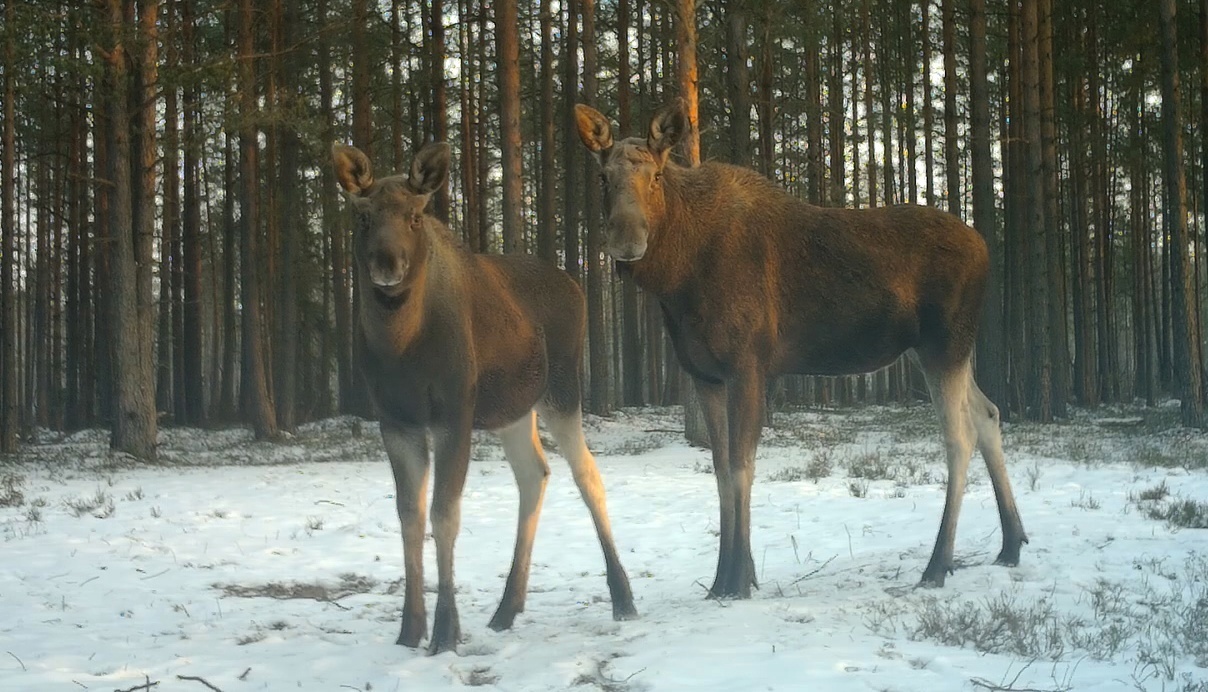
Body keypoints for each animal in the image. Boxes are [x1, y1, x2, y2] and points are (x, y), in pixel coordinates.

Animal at [328, 141, 632, 652]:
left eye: (415, 215)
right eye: (364, 216)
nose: (387, 264)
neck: (400, 345)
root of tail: (576, 284)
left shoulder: (454, 411)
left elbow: (444, 513)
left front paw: (446, 631)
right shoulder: (394, 419)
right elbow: (410, 514)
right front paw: (410, 629)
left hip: (562, 389)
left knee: (587, 474)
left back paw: (623, 596)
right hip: (514, 410)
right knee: (535, 473)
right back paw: (508, 607)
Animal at [575, 99, 1029, 596]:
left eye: (656, 175)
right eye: (603, 177)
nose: (626, 241)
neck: (676, 282)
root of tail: (985, 248)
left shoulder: (748, 365)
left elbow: (741, 467)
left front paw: (739, 579)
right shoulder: (704, 373)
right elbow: (719, 471)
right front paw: (723, 579)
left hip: (944, 343)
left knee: (959, 435)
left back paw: (938, 564)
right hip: (940, 350)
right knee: (988, 414)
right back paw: (1010, 543)